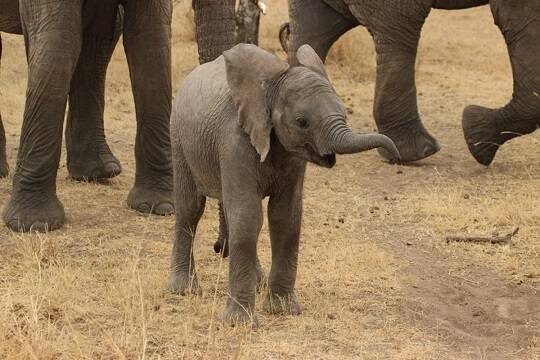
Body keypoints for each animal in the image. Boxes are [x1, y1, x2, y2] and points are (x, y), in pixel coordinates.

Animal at [169, 43, 400, 326]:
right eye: (302, 122)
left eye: (345, 112)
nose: (395, 155)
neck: (271, 87)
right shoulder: (234, 141)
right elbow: (248, 217)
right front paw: (239, 324)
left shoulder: (293, 156)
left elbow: (285, 217)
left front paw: (283, 310)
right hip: (179, 138)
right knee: (190, 209)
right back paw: (183, 290)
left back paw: (258, 283)